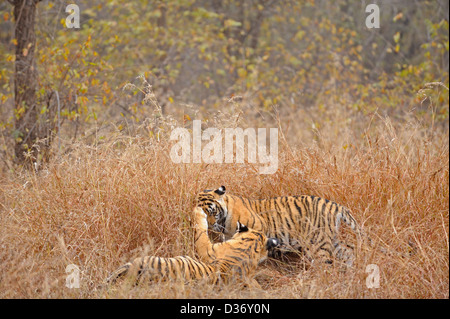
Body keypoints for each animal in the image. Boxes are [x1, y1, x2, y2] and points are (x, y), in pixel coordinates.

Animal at [195, 186, 368, 266]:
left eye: (212, 211)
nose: (210, 225)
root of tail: (336, 205)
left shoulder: (259, 227)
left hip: (318, 243)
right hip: (332, 240)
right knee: (349, 251)